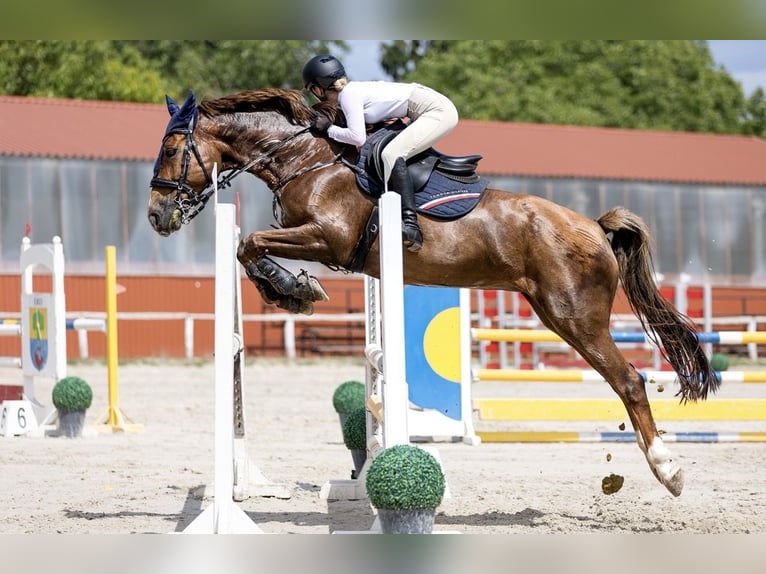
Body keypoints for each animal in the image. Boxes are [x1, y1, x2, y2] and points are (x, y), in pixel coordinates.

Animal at [147, 88, 718, 497]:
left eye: (172, 150)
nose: (156, 217)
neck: (305, 157)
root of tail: (595, 227)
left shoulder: (328, 238)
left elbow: (249, 242)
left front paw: (294, 289)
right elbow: (248, 248)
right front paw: (292, 291)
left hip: (575, 316)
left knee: (630, 381)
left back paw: (669, 471)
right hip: (558, 314)